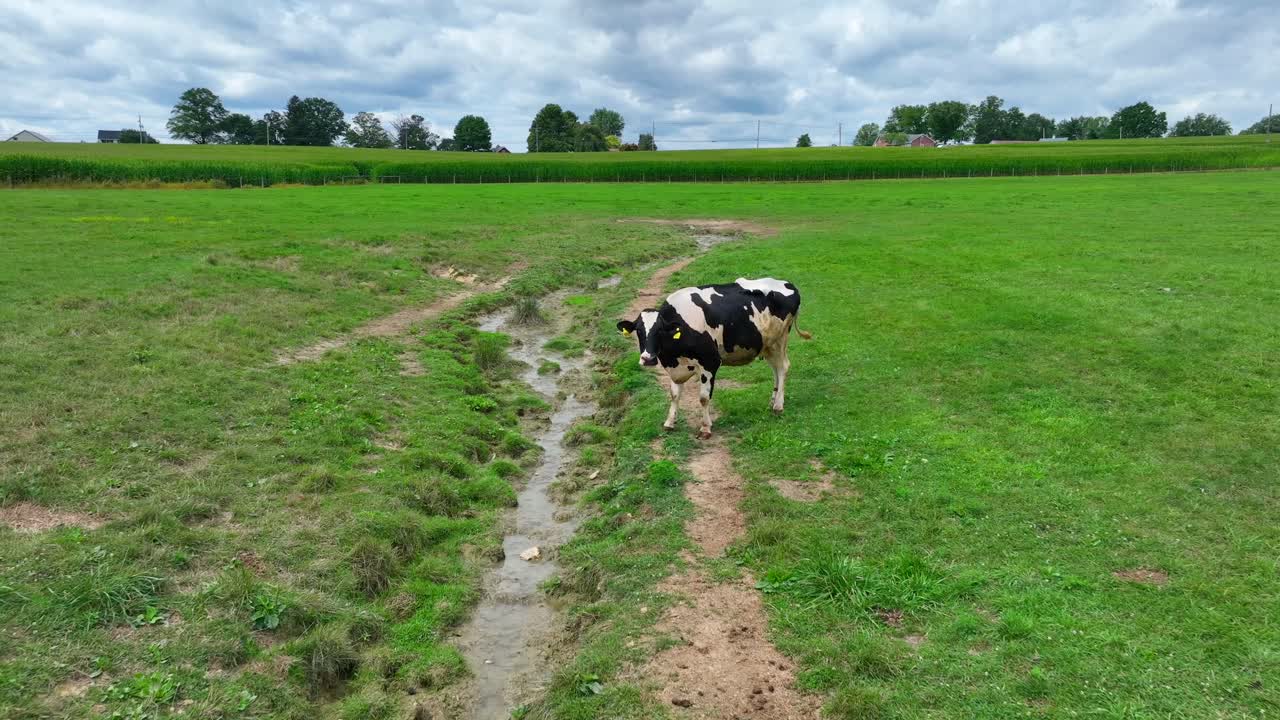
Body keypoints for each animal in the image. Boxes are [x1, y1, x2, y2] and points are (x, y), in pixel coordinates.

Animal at [617, 278, 811, 439]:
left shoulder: (710, 362)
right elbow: (674, 394)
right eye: (639, 331)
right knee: (775, 370)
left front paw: (705, 428)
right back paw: (774, 400)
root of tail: (787, 283)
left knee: (783, 367)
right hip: (767, 344)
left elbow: (703, 397)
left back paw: (778, 405)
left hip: (780, 340)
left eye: (659, 331)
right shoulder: (675, 368)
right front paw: (669, 422)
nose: (647, 358)